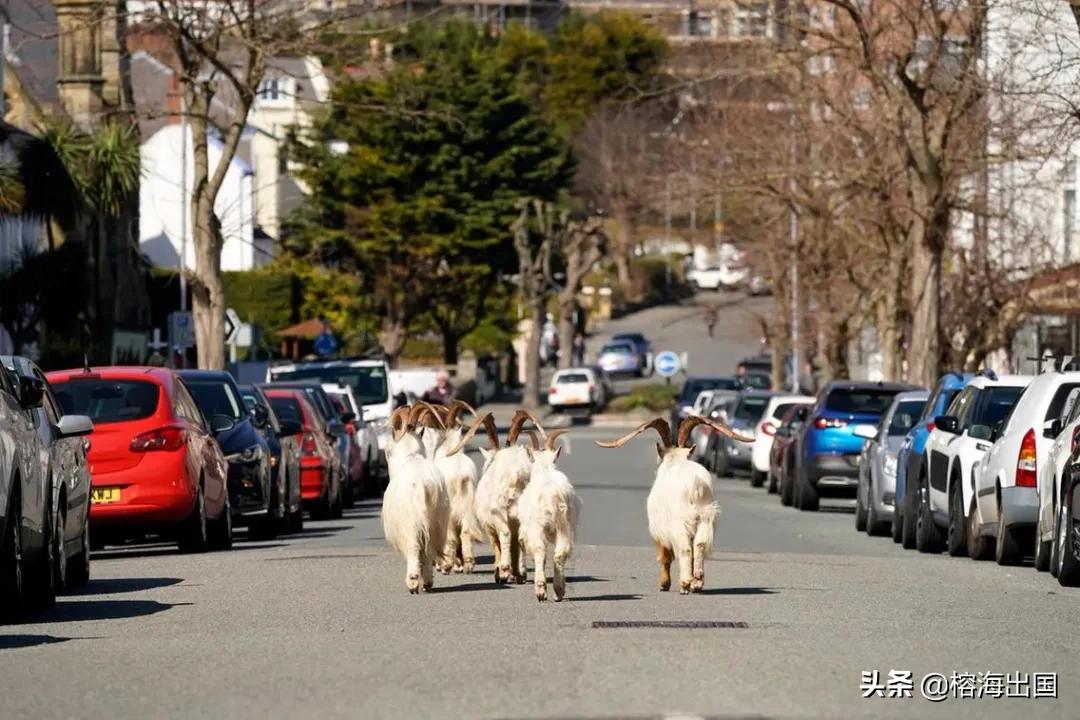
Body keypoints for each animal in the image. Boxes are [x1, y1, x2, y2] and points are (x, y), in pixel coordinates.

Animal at [382, 403, 449, 595]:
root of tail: (423, 486)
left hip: (411, 526)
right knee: (429, 551)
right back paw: (427, 582)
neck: (410, 458)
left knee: (415, 550)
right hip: (437, 522)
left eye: (387, 451)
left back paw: (412, 582)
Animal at [442, 410, 535, 587]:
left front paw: (500, 572)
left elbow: (496, 544)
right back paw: (518, 573)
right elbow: (515, 545)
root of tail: (516, 476)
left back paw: (504, 569)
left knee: (505, 534)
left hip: (498, 512)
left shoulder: (488, 524)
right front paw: (518, 574)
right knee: (520, 538)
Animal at [516, 427, 578, 604]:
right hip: (564, 524)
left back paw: (541, 591)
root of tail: (552, 494)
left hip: (537, 524)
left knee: (539, 550)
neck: (545, 470)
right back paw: (559, 591)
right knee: (561, 552)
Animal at [600, 416, 751, 595]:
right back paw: (697, 582)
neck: (675, 462)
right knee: (699, 545)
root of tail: (695, 486)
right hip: (706, 518)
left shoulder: (659, 529)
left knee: (686, 549)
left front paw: (664, 584)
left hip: (680, 522)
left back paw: (684, 584)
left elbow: (665, 556)